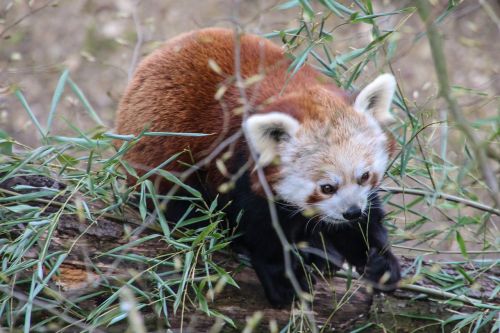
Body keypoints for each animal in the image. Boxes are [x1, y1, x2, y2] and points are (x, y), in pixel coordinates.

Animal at [115, 27, 400, 306]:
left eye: (364, 176)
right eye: (326, 187)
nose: (351, 212)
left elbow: (366, 223)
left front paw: (380, 261)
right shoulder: (235, 164)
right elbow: (261, 229)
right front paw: (284, 280)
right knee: (182, 205)